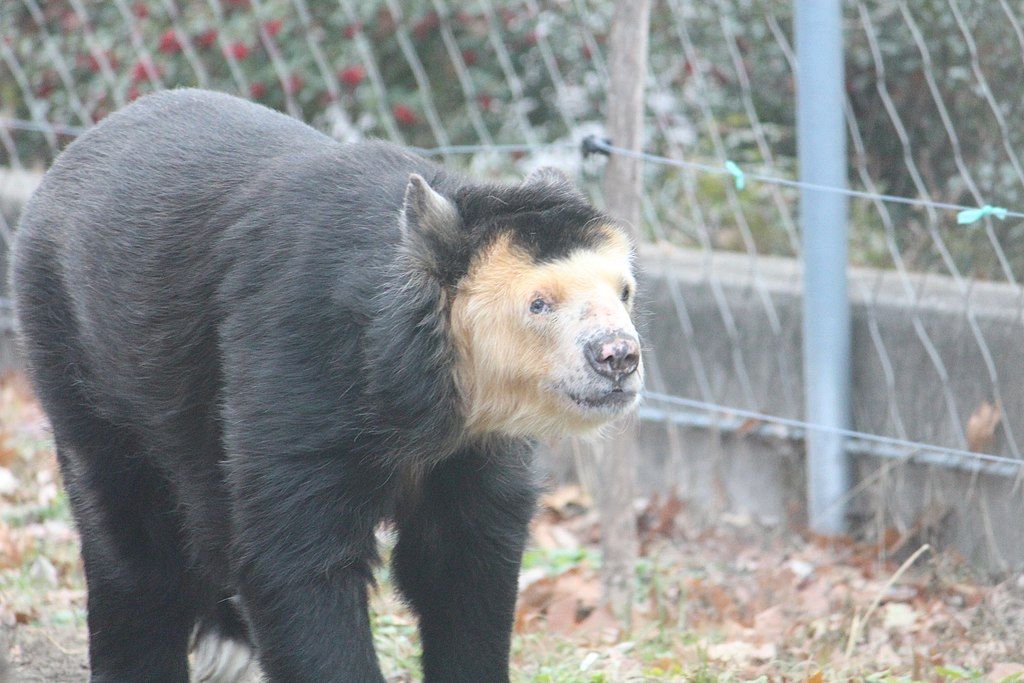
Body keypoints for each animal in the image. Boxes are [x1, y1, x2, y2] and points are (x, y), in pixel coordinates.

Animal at [10, 89, 643, 682]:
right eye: (539, 304)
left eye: (625, 291)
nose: (619, 357)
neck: (425, 386)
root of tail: (69, 158)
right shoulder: (299, 362)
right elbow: (296, 560)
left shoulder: (472, 449)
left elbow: (464, 560)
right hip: (78, 349)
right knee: (133, 534)